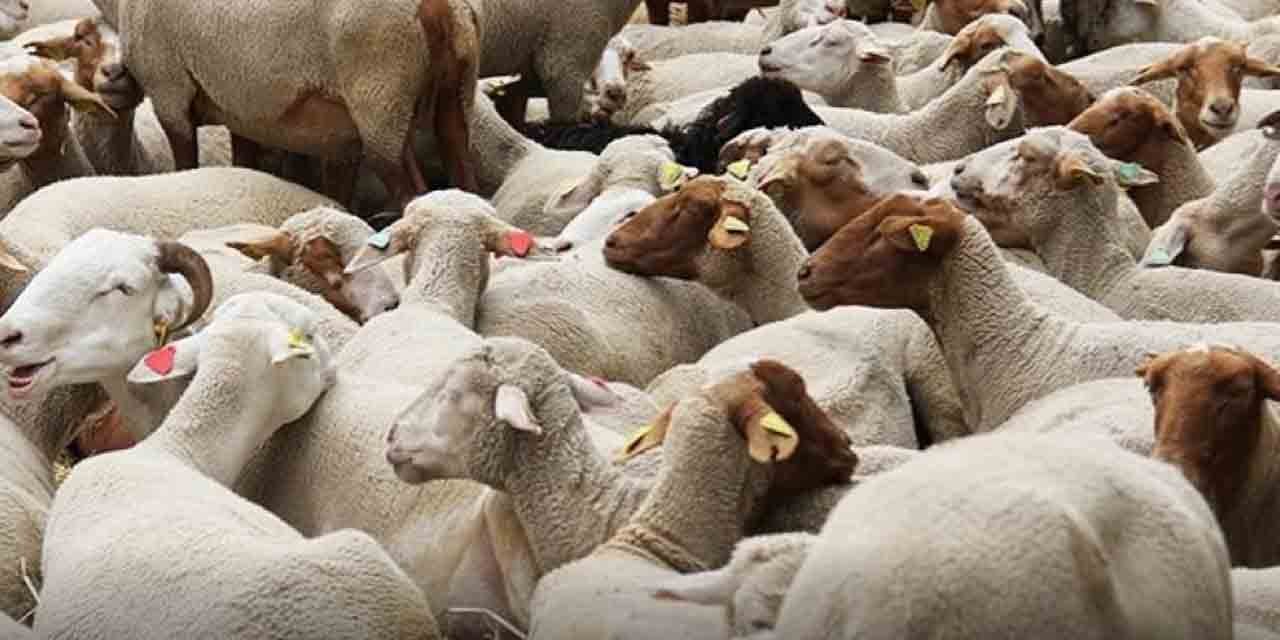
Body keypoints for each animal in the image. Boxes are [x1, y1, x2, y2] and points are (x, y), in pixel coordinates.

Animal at [91, 0, 479, 207]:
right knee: (465, 177)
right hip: (455, 96)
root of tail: (442, 9)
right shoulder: (241, 107)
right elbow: (242, 164)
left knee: (412, 193)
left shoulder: (170, 91)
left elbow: (186, 165)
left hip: (381, 101)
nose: (114, 75)